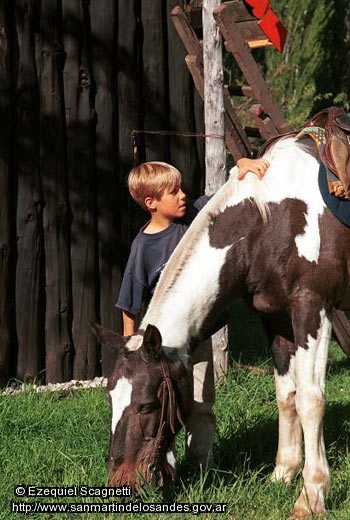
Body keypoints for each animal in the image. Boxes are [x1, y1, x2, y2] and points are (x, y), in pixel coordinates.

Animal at [92, 137, 350, 516]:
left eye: (147, 405)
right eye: (111, 397)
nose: (121, 485)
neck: (270, 223)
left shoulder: (312, 309)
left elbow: (310, 399)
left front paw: (311, 496)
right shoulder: (274, 318)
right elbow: (286, 395)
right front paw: (283, 473)